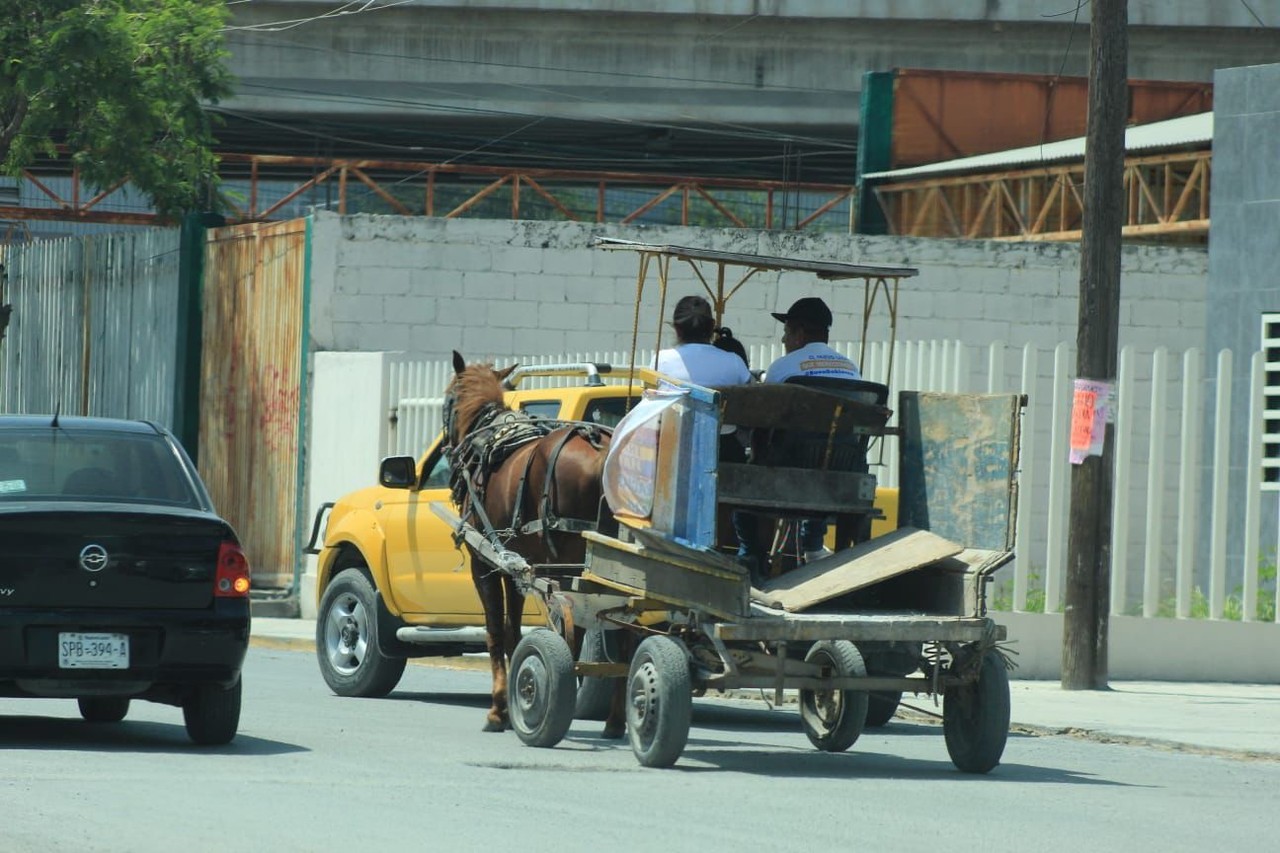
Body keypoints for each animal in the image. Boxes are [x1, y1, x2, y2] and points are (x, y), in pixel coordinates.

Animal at [442, 348, 627, 732]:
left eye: (449, 397)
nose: (448, 449)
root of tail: (601, 448)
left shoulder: (485, 564)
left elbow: (495, 631)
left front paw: (499, 709)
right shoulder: (514, 567)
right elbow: (512, 629)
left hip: (566, 565)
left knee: (578, 633)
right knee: (629, 636)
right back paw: (617, 719)